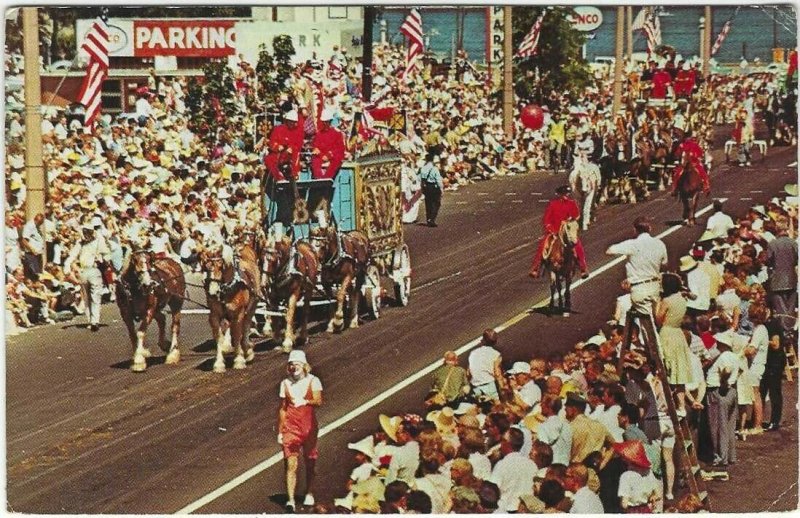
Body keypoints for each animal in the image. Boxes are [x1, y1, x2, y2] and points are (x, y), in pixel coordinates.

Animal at [199, 244, 260, 374]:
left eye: (220, 266)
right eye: (205, 267)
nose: (212, 292)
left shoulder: (238, 314)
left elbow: (237, 335)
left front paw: (239, 360)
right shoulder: (214, 316)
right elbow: (219, 338)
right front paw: (219, 364)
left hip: (253, 304)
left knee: (246, 325)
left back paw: (247, 350)